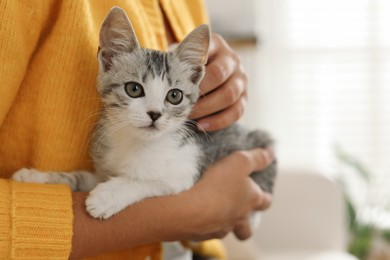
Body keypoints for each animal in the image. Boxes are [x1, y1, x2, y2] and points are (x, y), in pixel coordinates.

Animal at [11, 6, 274, 219]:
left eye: (175, 95)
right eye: (134, 89)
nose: (155, 114)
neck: (138, 144)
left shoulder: (184, 172)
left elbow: (148, 181)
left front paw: (107, 196)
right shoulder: (102, 170)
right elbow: (82, 177)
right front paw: (39, 178)